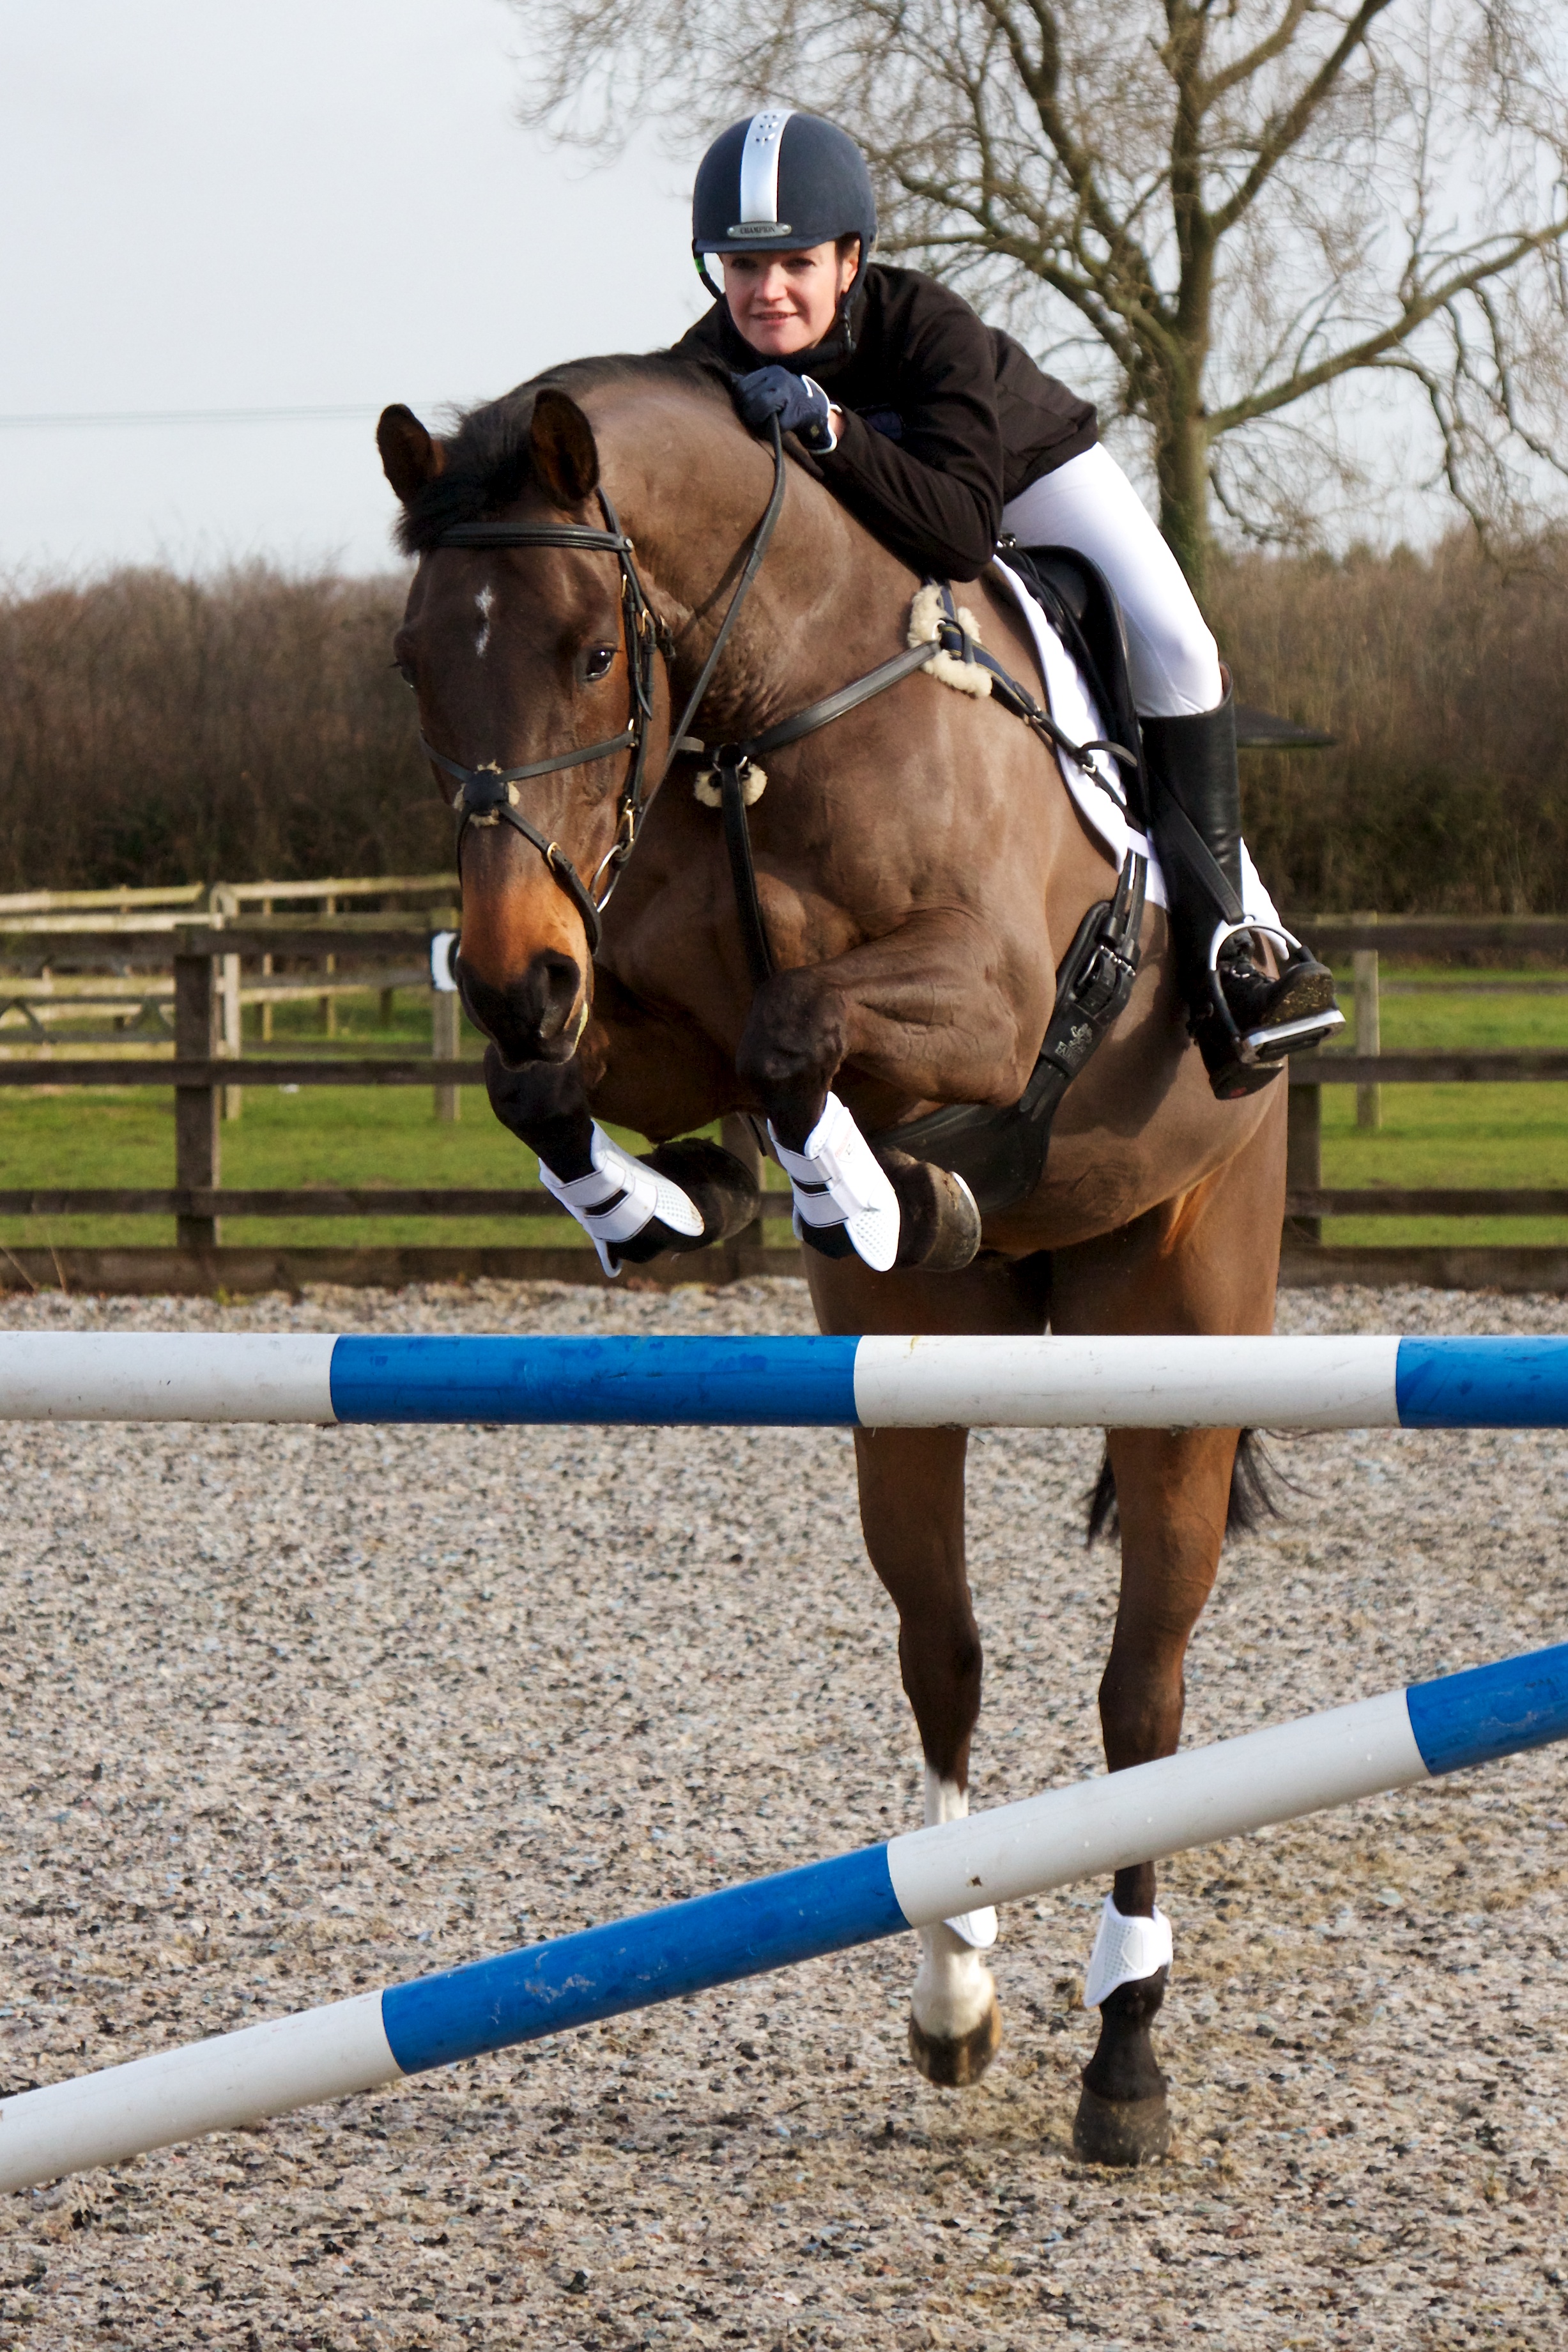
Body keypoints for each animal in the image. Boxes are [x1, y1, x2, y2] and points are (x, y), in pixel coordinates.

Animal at [376, 355, 1287, 2167]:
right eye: (417, 657)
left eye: (589, 647)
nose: (511, 971)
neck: (763, 717)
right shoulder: (642, 1010)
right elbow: (566, 1084)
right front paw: (672, 1203)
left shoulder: (995, 994)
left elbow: (803, 1025)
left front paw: (851, 1179)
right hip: (913, 1385)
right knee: (943, 1645)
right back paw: (953, 1988)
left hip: (1181, 1339)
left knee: (1141, 1696)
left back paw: (1124, 2050)